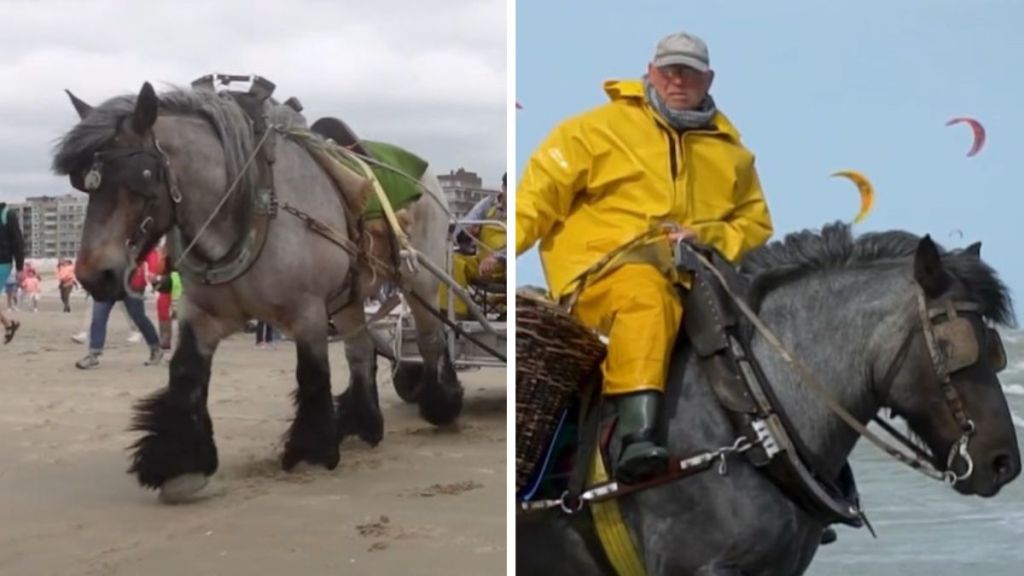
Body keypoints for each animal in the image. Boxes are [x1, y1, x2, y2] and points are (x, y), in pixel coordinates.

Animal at [51, 81, 460, 502]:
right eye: (83, 184)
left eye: (141, 178)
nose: (93, 275)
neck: (250, 207)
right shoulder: (202, 314)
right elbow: (186, 372)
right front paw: (182, 463)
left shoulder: (308, 311)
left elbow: (312, 373)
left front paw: (312, 450)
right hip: (348, 294)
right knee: (360, 350)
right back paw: (364, 423)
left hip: (420, 278)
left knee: (430, 338)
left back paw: (440, 403)